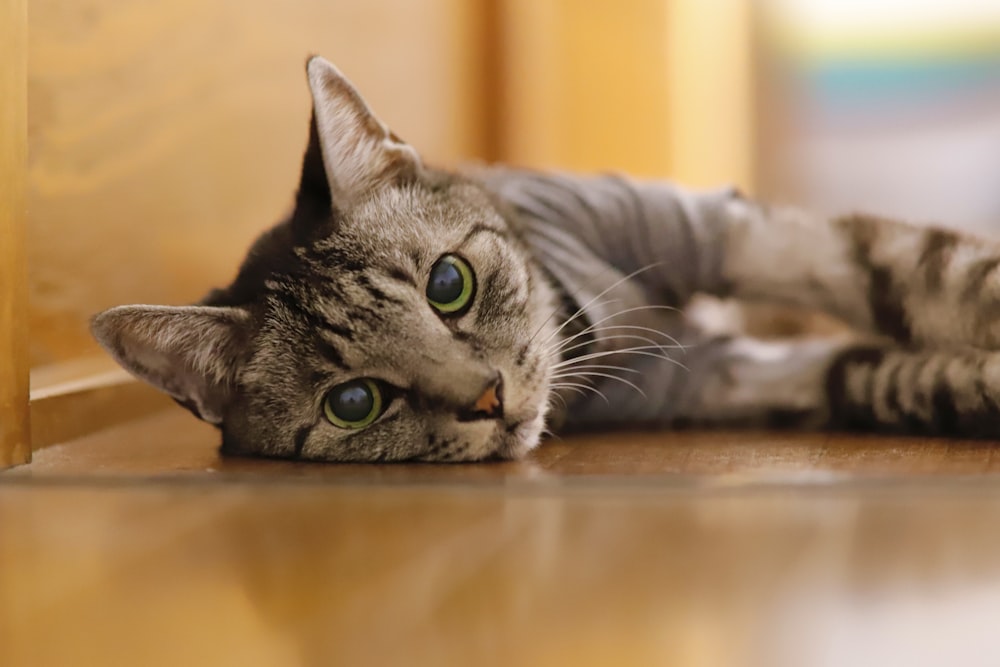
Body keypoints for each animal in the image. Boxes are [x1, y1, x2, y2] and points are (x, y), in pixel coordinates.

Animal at [92, 57, 1000, 462]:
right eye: (354, 401)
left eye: (448, 283)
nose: (489, 398)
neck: (594, 333)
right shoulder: (718, 374)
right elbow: (883, 375)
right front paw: (968, 384)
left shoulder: (723, 226)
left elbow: (918, 270)